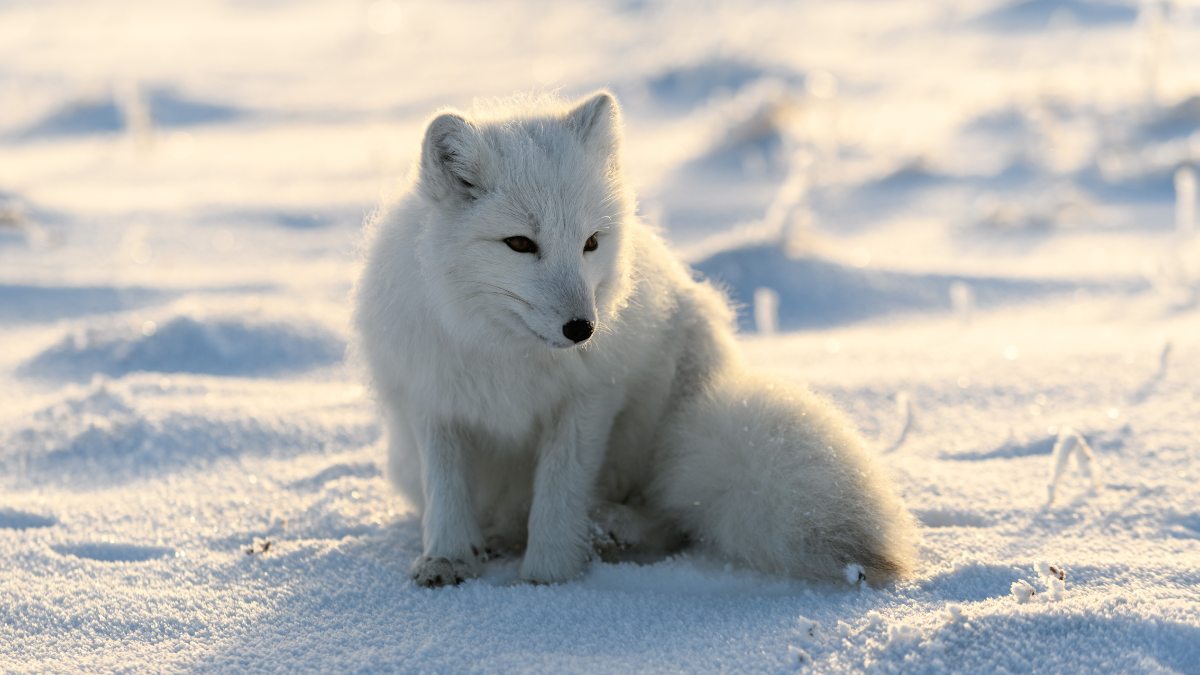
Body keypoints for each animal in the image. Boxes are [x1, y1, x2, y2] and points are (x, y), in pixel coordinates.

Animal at [352, 91, 917, 587]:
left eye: (591, 243)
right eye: (519, 243)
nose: (582, 329)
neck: (507, 352)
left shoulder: (588, 402)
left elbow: (558, 495)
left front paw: (546, 579)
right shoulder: (433, 401)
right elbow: (447, 493)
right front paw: (447, 560)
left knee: (671, 517)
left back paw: (610, 530)